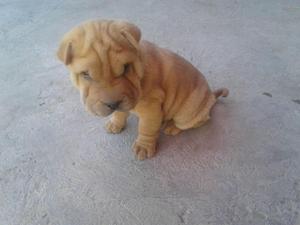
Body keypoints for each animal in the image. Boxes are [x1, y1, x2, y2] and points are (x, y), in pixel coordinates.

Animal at [57, 19, 229, 160]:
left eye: (126, 68)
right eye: (85, 74)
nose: (112, 104)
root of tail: (211, 96)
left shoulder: (150, 107)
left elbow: (146, 128)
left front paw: (143, 147)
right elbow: (120, 113)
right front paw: (115, 123)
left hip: (188, 113)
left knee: (197, 121)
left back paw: (172, 126)